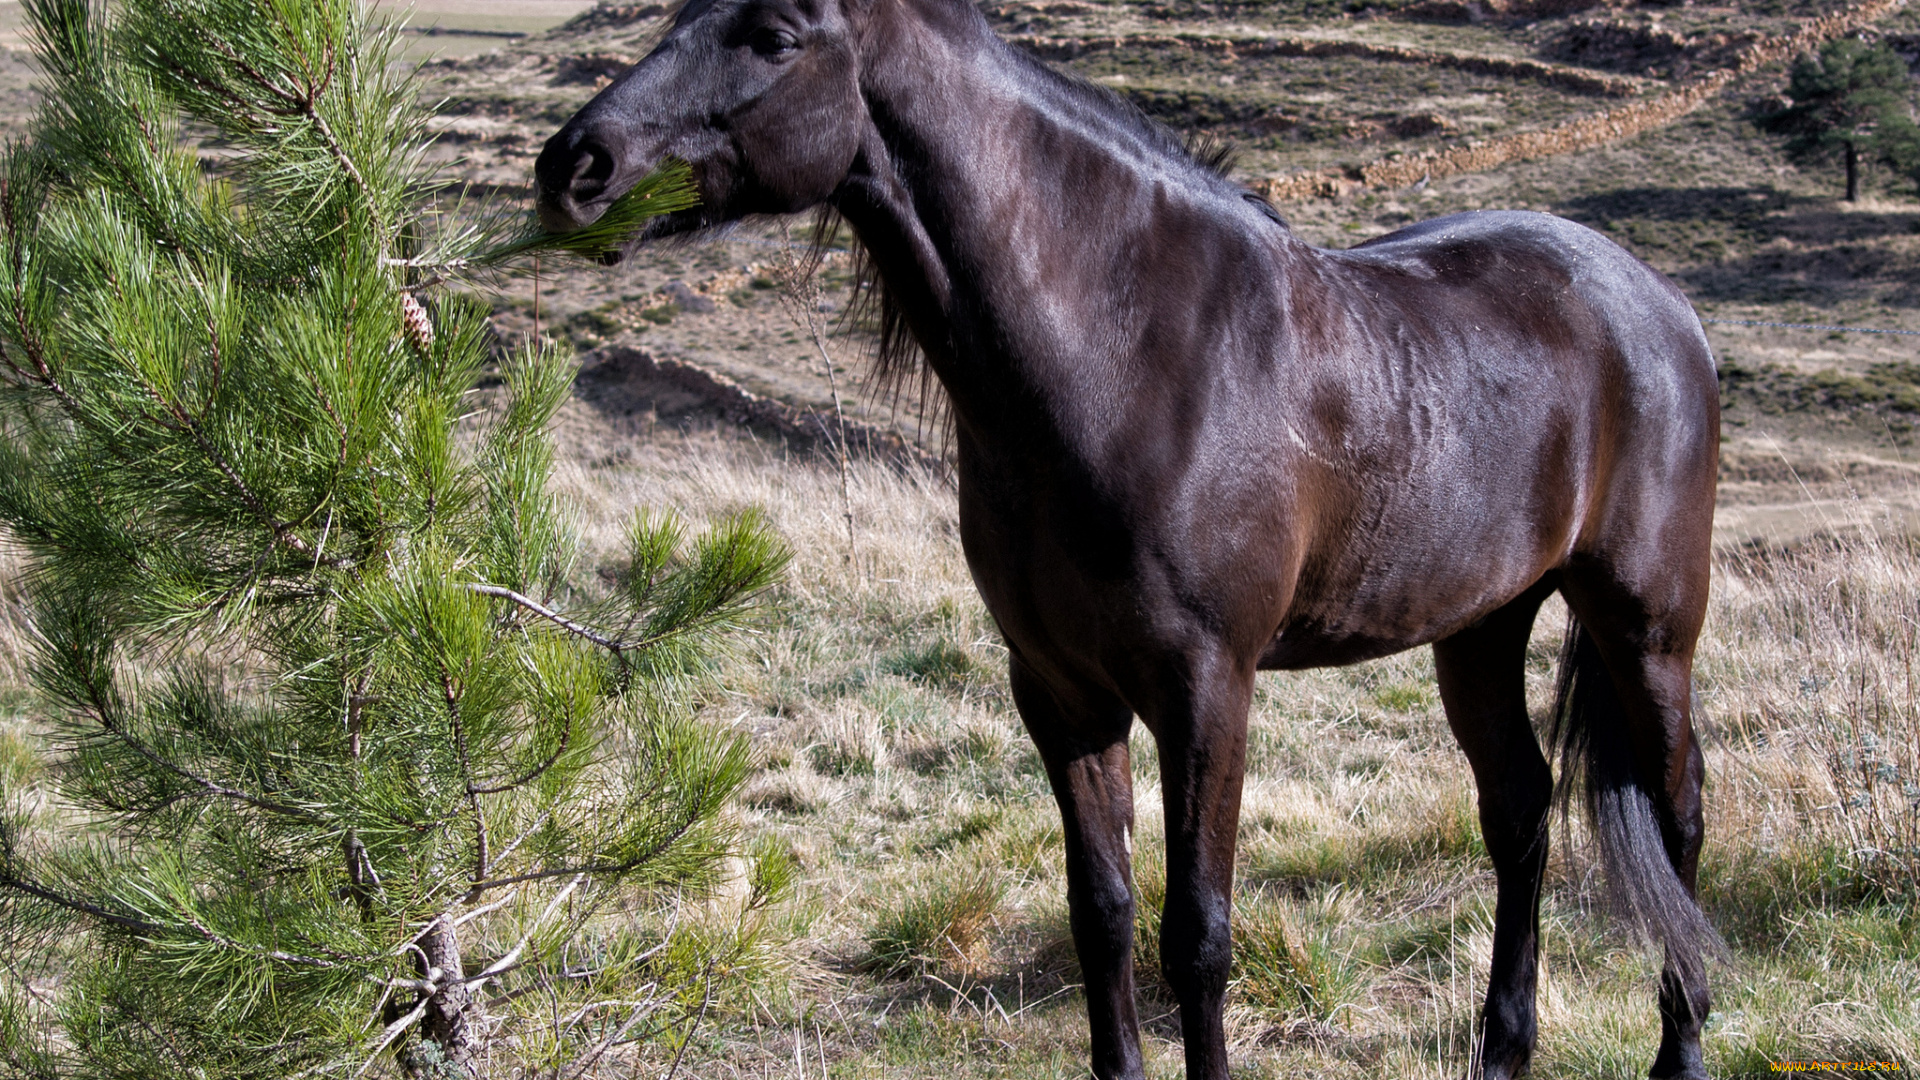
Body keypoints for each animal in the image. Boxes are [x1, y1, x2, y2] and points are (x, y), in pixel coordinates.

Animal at [529, 0, 1728, 1068]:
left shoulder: (1207, 688)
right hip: (1481, 625)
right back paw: (1504, 1048)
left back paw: (1681, 1047)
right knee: (1518, 811)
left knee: (1678, 817)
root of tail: (1658, 303)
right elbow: (1099, 912)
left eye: (775, 35)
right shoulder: (1061, 692)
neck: (1125, 353)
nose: (573, 168)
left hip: (1647, 627)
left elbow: (1195, 933)